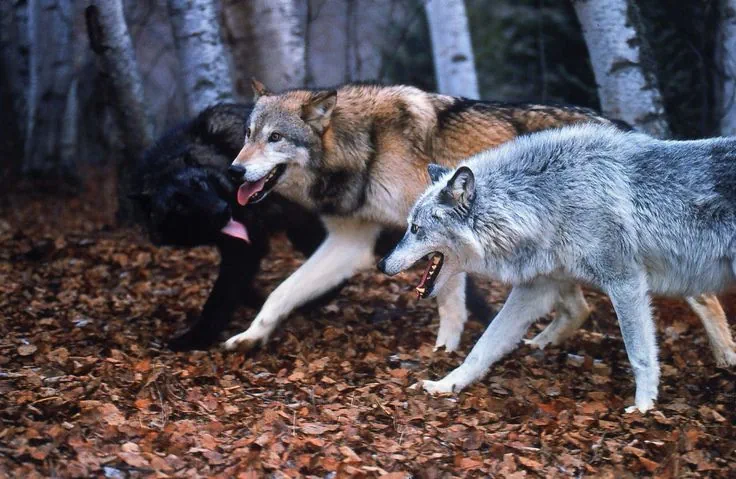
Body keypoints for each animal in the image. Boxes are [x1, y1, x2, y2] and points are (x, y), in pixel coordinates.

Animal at [222, 81, 729, 356]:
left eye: (274, 138)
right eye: (247, 135)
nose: (234, 171)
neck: (364, 146)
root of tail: (619, 127)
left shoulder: (438, 235)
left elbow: (449, 300)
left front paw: (443, 350)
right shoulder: (351, 244)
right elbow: (281, 293)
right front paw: (249, 336)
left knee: (702, 295)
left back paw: (726, 355)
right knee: (578, 309)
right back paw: (537, 344)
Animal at [379, 123, 736, 412]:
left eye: (415, 229)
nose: (382, 263)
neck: (547, 199)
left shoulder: (625, 282)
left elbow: (640, 354)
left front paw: (644, 407)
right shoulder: (536, 288)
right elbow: (482, 347)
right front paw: (446, 385)